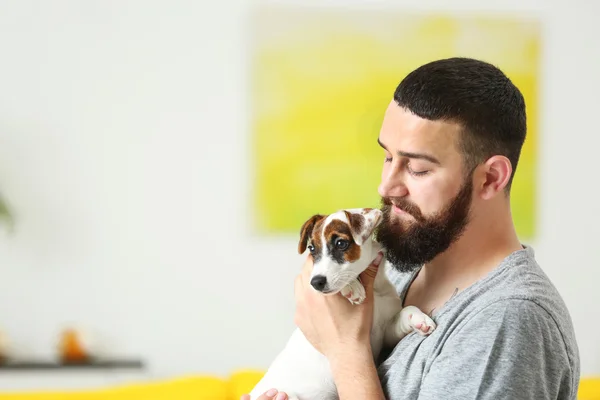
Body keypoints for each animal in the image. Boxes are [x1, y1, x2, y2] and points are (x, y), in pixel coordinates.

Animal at [248, 208, 436, 398]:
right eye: (311, 248)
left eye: (341, 243)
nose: (315, 282)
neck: (374, 290)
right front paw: (352, 286)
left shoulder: (386, 331)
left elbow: (407, 311)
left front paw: (419, 319)